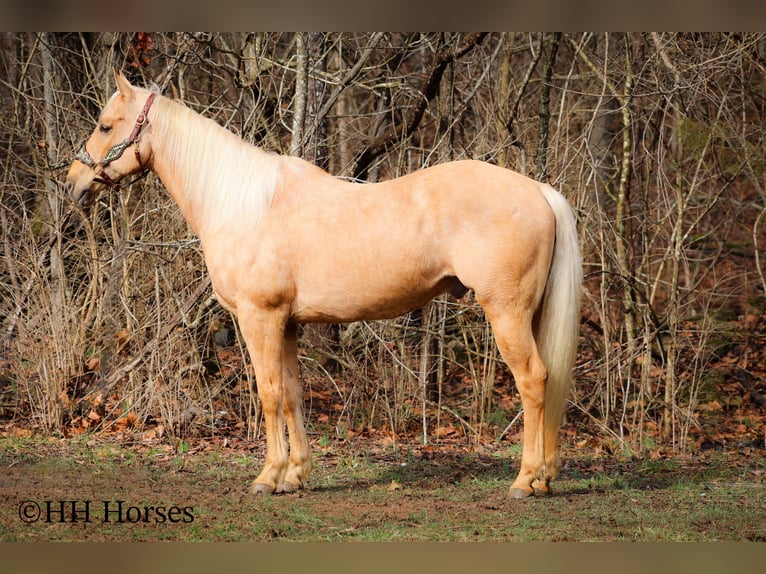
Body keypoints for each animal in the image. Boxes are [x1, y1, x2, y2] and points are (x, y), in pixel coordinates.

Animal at [66, 71, 582, 499]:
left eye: (106, 126)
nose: (74, 183)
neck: (240, 202)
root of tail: (539, 192)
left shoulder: (259, 318)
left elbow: (269, 393)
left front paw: (267, 476)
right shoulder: (288, 323)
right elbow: (293, 394)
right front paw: (294, 475)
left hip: (506, 310)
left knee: (533, 380)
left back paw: (525, 481)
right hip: (528, 312)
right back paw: (544, 478)